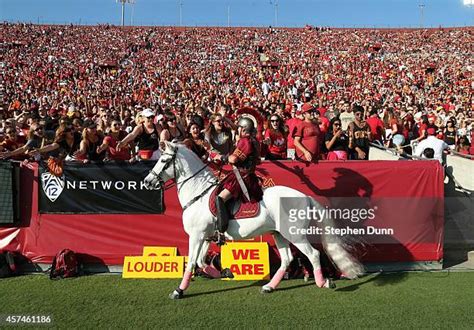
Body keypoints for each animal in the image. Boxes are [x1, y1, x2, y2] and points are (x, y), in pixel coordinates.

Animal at [144, 142, 362, 300]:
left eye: (163, 160)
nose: (147, 181)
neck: (198, 193)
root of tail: (305, 196)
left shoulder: (196, 236)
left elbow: (190, 263)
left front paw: (178, 291)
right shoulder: (205, 237)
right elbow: (199, 261)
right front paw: (225, 272)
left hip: (295, 235)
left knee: (313, 254)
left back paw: (323, 282)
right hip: (279, 234)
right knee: (286, 259)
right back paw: (269, 286)